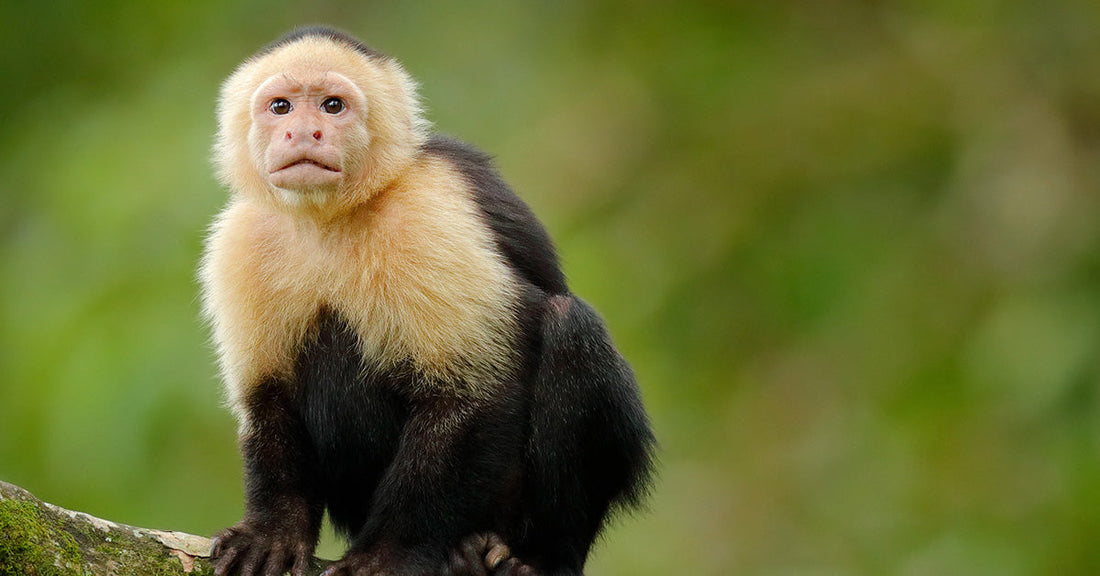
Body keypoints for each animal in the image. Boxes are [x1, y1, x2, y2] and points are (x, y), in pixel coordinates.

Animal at [201, 27, 655, 576]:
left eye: (332, 106)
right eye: (281, 107)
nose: (303, 133)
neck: (329, 217)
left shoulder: (426, 210)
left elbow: (470, 393)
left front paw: (387, 554)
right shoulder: (240, 241)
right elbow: (267, 398)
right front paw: (273, 530)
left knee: (571, 328)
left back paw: (536, 555)